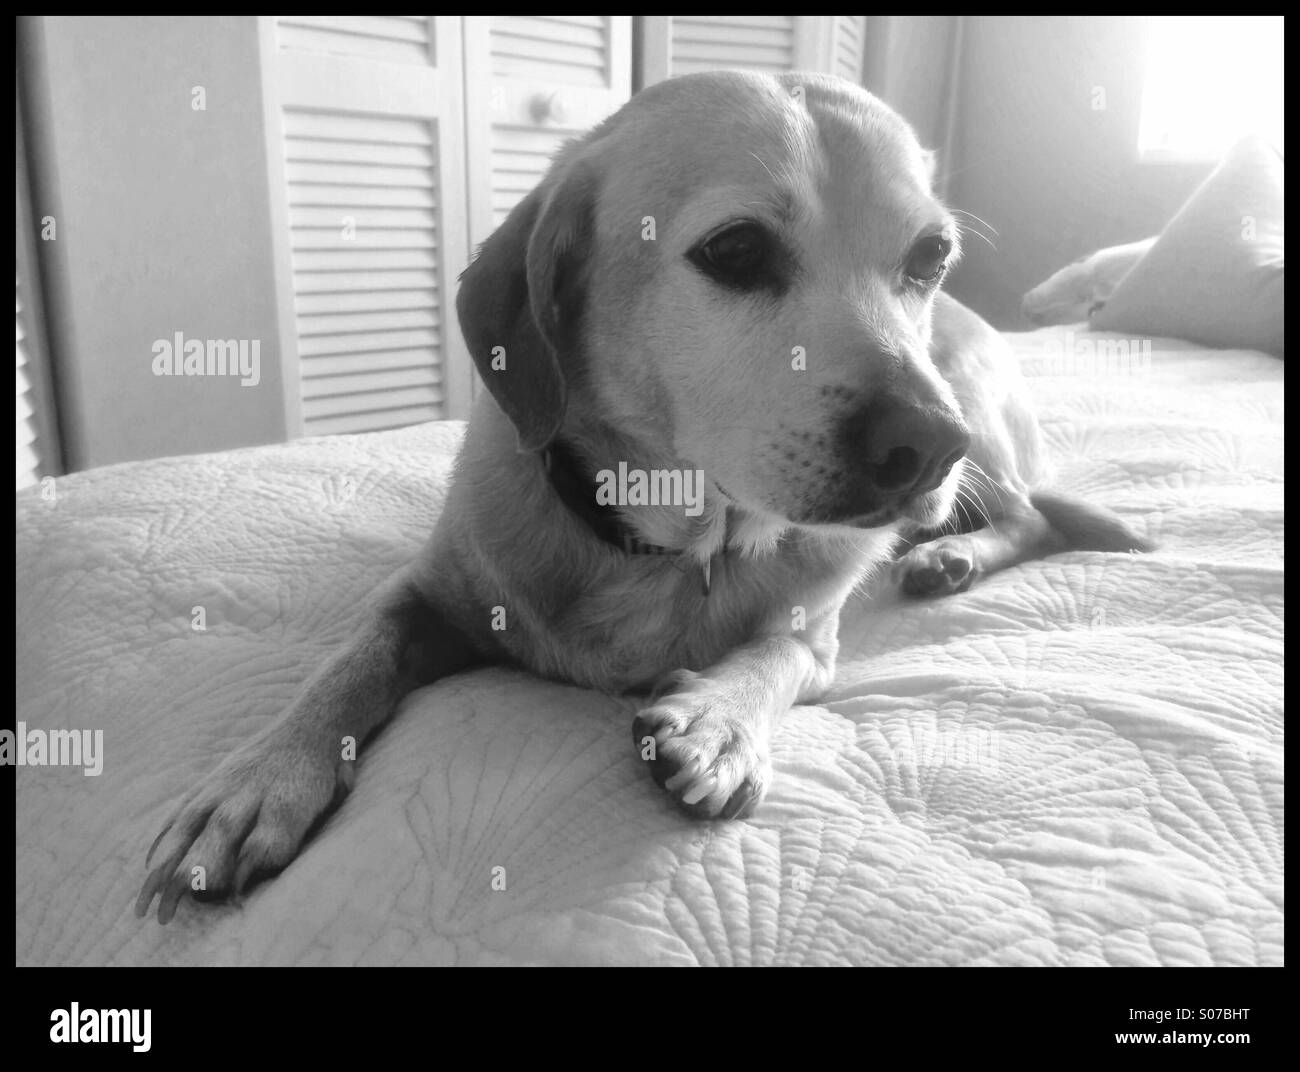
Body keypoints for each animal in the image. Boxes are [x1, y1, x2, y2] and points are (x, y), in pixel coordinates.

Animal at [134, 71, 1149, 919]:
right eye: (736, 249)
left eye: (930, 257)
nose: (933, 445)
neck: (670, 545)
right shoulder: (425, 597)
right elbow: (347, 666)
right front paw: (259, 778)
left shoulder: (815, 639)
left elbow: (774, 652)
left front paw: (722, 717)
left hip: (973, 406)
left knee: (1028, 513)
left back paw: (953, 553)